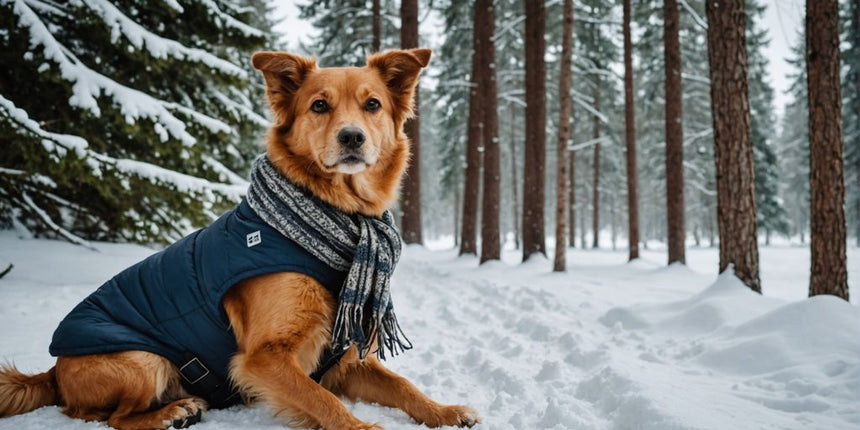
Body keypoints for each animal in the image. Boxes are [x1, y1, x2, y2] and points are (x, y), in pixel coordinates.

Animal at [0, 48, 480, 430]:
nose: (352, 137)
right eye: (319, 105)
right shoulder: (263, 358)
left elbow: (405, 387)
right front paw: (365, 428)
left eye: (373, 104)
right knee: (106, 417)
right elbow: (323, 401)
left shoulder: (345, 361)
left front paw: (445, 411)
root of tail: (53, 371)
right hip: (143, 359)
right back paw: (171, 412)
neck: (335, 220)